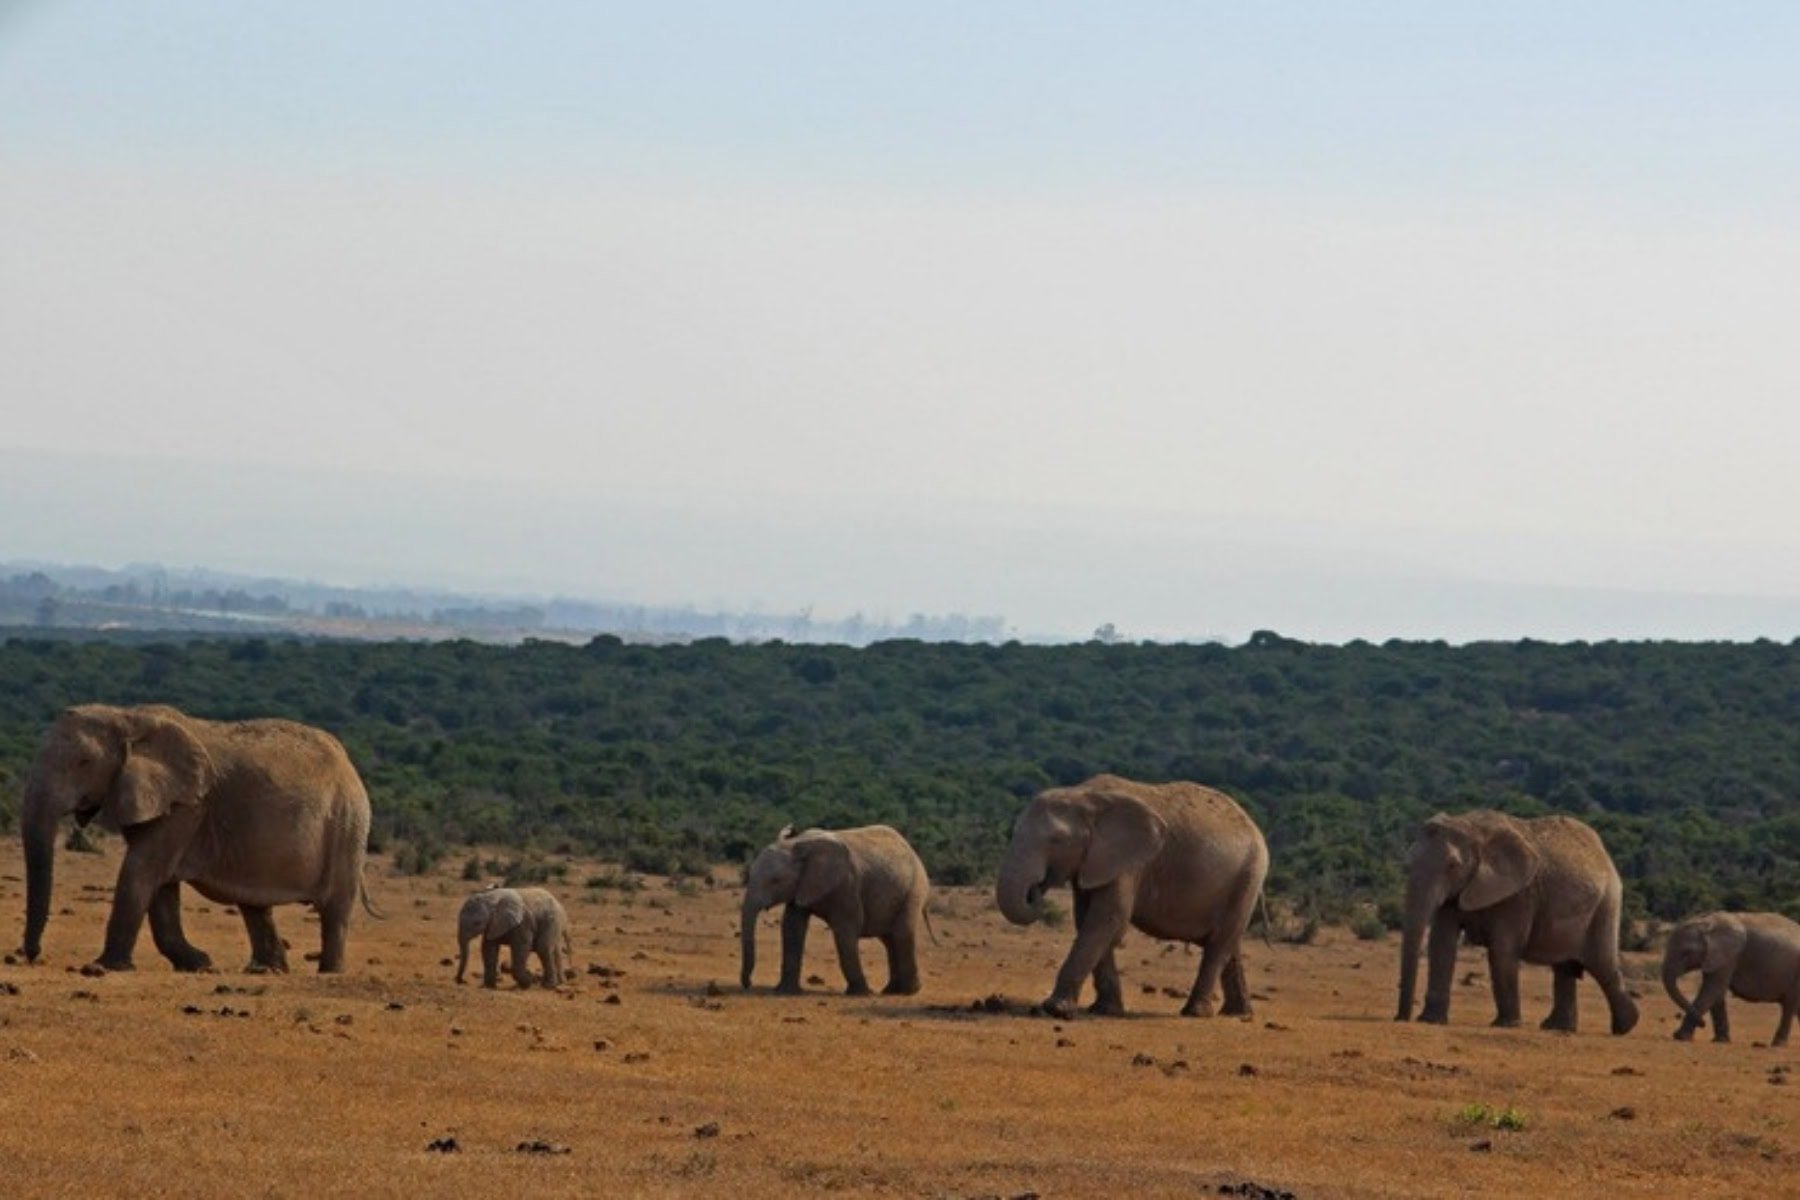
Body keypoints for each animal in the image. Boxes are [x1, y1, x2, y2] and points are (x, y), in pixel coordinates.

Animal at [18, 703, 376, 974]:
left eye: (83, 762)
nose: (31, 955)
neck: (127, 716)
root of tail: (349, 764)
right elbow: (158, 885)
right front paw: (200, 964)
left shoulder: (187, 806)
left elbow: (141, 871)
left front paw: (103, 968)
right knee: (255, 904)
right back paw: (266, 971)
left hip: (348, 823)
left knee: (335, 908)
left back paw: (328, 973)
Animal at [739, 824, 931, 996]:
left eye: (776, 881)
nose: (748, 984)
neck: (796, 843)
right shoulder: (801, 886)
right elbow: (792, 928)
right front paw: (785, 992)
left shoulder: (846, 885)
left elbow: (845, 929)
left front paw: (862, 994)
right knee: (889, 940)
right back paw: (891, 991)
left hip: (914, 889)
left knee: (901, 934)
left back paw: (909, 992)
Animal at [996, 774, 1269, 1020]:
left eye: (1057, 840)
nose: (1036, 887)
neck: (1084, 795)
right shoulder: (1097, 860)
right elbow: (1087, 920)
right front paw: (1105, 1010)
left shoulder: (1130, 863)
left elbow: (1108, 919)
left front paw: (1056, 1010)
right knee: (1229, 944)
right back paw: (1237, 1013)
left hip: (1249, 875)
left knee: (1218, 945)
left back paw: (1196, 1013)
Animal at [1395, 809, 1638, 1035]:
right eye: (1408, 863)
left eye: (1452, 865)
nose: (1400, 1018)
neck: (1471, 826)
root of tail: (1604, 855)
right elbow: (1441, 945)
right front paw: (1430, 1021)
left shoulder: (1519, 894)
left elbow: (1501, 951)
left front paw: (1505, 1025)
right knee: (1565, 967)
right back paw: (1557, 1028)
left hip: (1606, 903)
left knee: (1602, 965)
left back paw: (1625, 1026)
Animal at [1662, 911, 1800, 1046]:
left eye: (1687, 953)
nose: (1703, 1024)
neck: (1707, 922)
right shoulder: (1715, 958)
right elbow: (1716, 993)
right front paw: (1720, 1041)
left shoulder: (1728, 956)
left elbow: (1712, 990)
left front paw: (1680, 1037)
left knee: (1789, 1005)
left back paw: (1778, 1044)